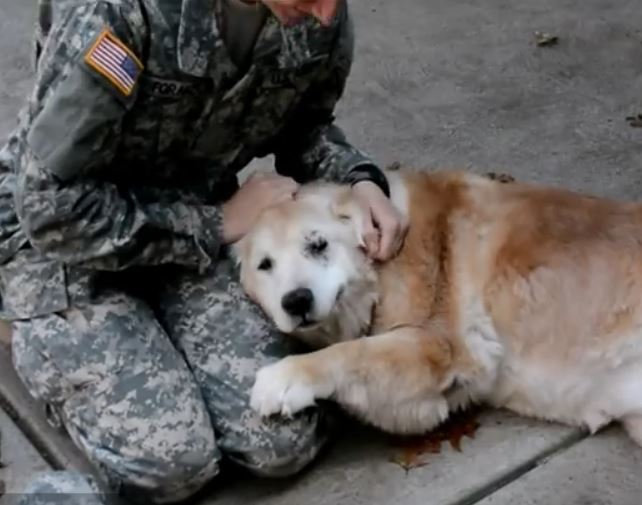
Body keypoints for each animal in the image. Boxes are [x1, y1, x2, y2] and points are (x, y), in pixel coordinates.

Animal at [232, 167, 640, 442]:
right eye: (265, 265)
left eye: (318, 245)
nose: (296, 300)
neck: (381, 272)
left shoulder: (443, 348)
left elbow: (351, 353)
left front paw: (282, 378)